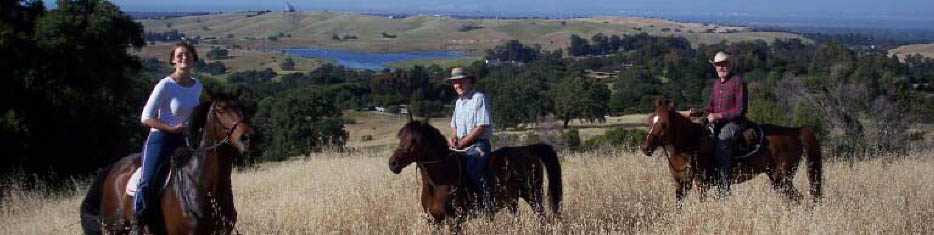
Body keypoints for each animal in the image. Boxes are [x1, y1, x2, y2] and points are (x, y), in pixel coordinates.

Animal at [78, 92, 254, 235]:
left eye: (240, 108)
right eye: (219, 109)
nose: (246, 137)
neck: (200, 183)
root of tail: (114, 167)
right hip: (115, 228)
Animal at [388, 117, 564, 229]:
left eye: (415, 141)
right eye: (400, 136)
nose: (393, 163)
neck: (437, 183)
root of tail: (529, 149)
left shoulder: (456, 220)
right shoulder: (434, 221)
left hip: (534, 196)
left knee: (542, 219)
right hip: (512, 201)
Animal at [648, 99, 824, 204]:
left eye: (664, 123)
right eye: (651, 120)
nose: (646, 147)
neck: (691, 145)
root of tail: (795, 131)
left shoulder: (702, 184)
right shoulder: (680, 185)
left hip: (782, 178)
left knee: (797, 198)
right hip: (777, 179)